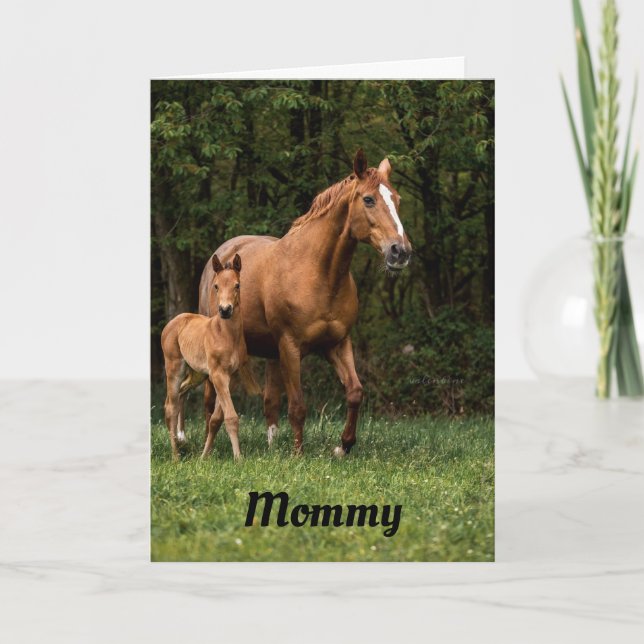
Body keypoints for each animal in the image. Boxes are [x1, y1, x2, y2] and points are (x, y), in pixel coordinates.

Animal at [162, 253, 261, 460]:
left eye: (237, 285)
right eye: (216, 285)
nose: (225, 310)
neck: (227, 335)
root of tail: (173, 321)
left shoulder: (231, 376)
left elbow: (216, 418)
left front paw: (204, 456)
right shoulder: (217, 374)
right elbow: (230, 416)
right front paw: (239, 459)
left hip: (197, 374)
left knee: (180, 394)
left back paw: (180, 443)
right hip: (174, 368)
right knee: (171, 406)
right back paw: (175, 456)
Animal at [198, 149, 411, 456]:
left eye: (397, 199)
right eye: (369, 199)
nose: (400, 252)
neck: (319, 272)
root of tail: (221, 255)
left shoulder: (337, 343)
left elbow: (355, 392)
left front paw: (343, 446)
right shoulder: (290, 346)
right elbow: (298, 405)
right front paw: (298, 454)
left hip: (272, 353)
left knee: (269, 401)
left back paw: (271, 446)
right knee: (207, 398)